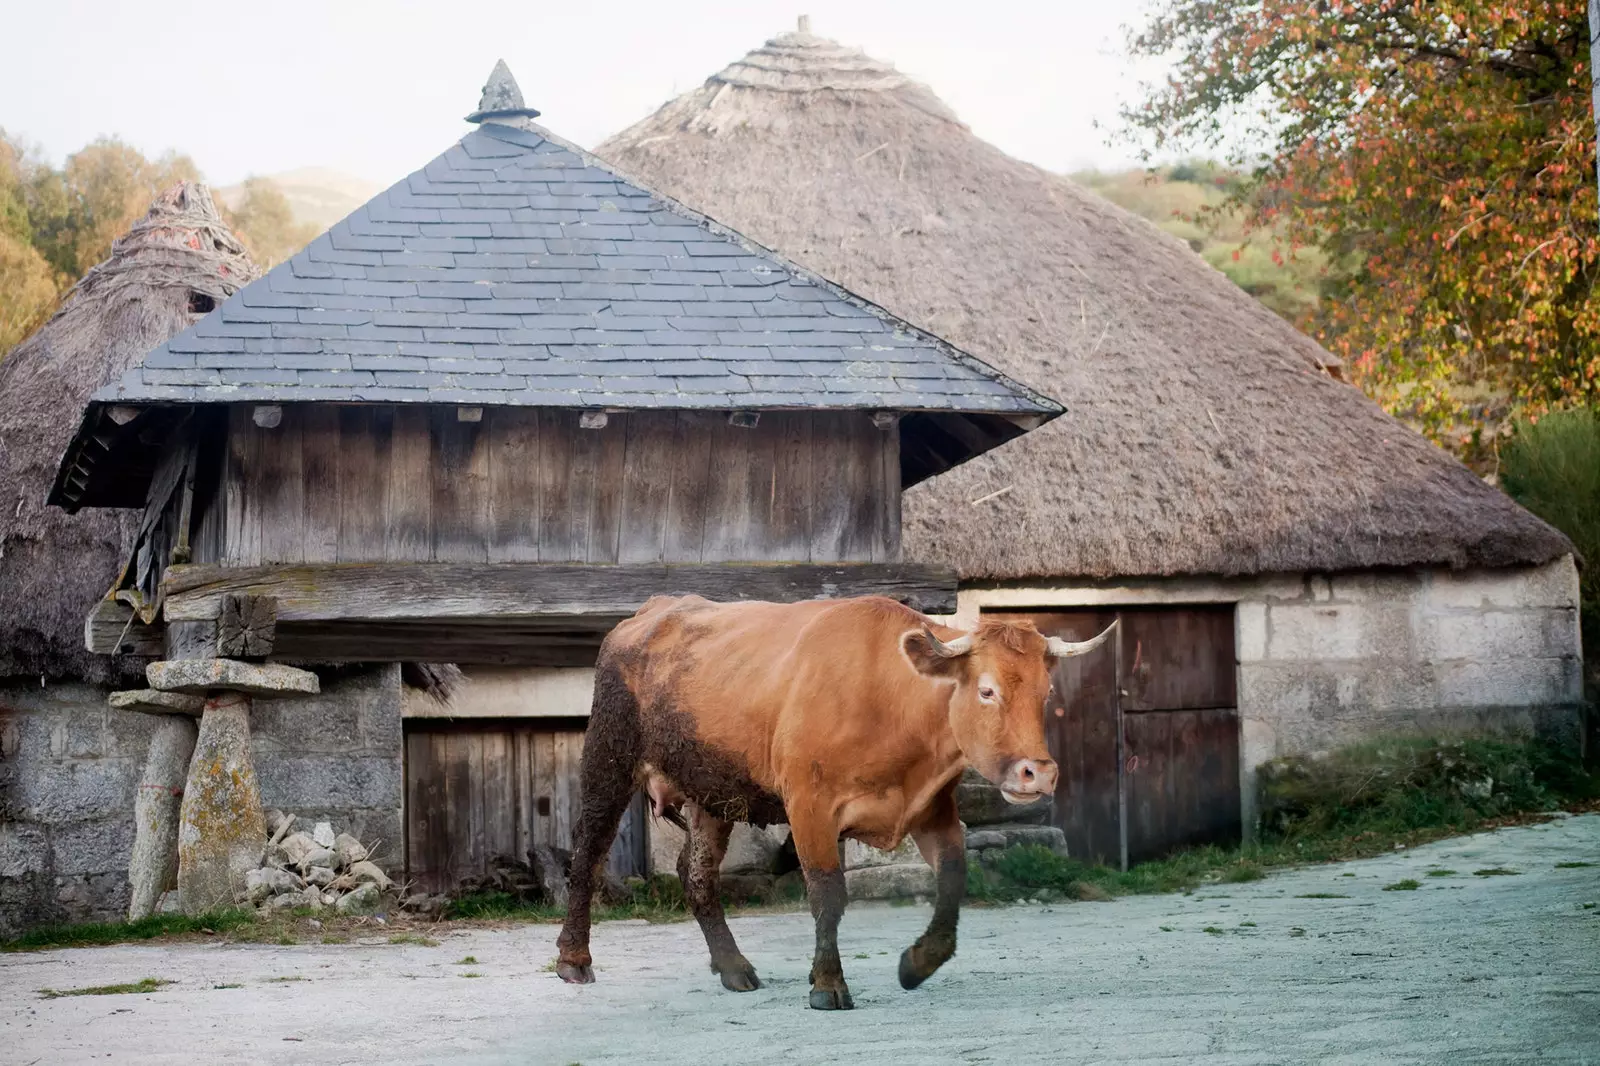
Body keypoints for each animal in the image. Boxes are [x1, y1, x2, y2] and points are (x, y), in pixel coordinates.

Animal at [550, 592, 1113, 1011]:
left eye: (1045, 693)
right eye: (987, 691)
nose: (1037, 773)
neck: (890, 698)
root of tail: (651, 611)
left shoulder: (931, 807)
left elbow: (953, 879)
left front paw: (917, 963)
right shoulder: (809, 805)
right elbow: (827, 892)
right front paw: (827, 984)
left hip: (713, 792)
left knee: (698, 873)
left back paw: (732, 966)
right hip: (609, 757)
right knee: (589, 853)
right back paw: (574, 960)